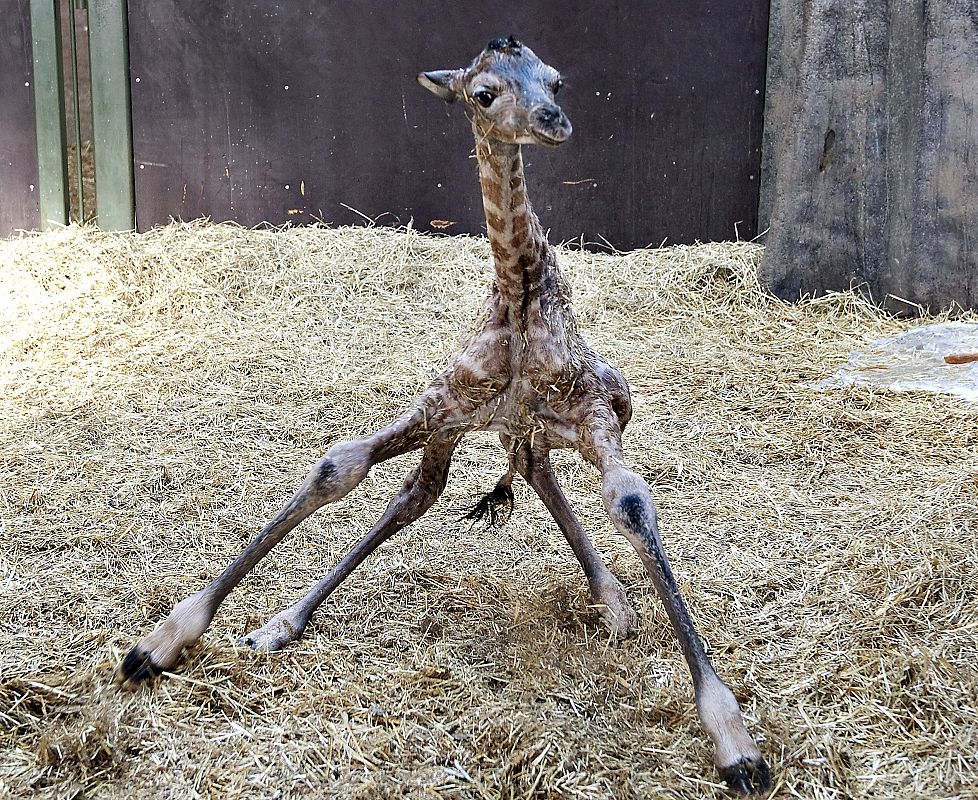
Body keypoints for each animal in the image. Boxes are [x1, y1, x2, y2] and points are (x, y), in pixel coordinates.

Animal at [116, 37, 771, 795]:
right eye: (484, 94)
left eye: (555, 81)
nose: (552, 121)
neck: (518, 299)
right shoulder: (445, 407)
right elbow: (337, 467)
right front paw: (160, 642)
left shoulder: (592, 415)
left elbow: (631, 505)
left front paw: (734, 742)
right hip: (478, 429)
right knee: (437, 490)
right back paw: (281, 623)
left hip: (577, 413)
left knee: (523, 477)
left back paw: (614, 602)